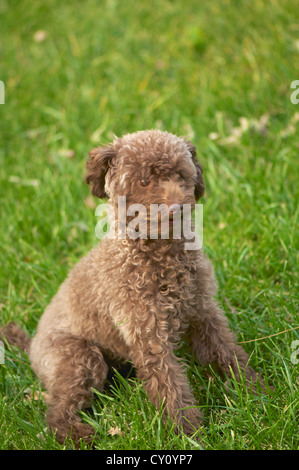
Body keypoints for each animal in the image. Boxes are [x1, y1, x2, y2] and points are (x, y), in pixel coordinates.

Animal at [2, 129, 264, 444]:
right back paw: (79, 433)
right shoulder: (149, 335)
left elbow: (227, 354)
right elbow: (170, 386)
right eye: (142, 181)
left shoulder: (203, 312)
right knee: (56, 411)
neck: (160, 255)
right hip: (78, 357)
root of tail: (31, 347)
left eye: (179, 175)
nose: (176, 207)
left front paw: (256, 394)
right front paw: (188, 433)